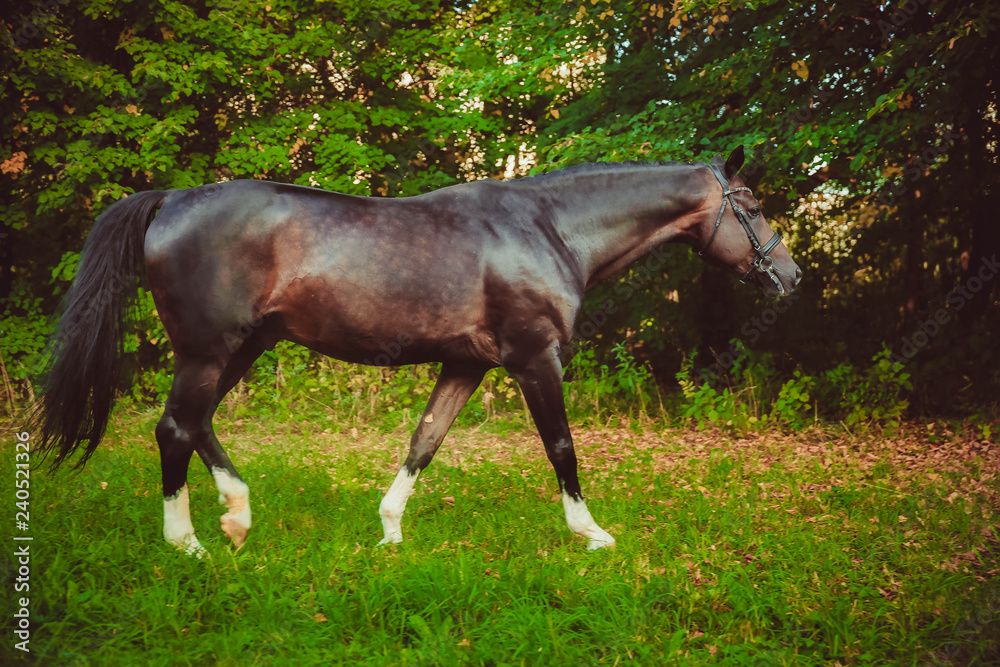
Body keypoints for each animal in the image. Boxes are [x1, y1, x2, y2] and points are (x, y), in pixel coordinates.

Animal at [35, 145, 801, 555]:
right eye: (751, 204)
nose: (790, 276)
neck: (550, 228)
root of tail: (170, 199)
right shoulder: (534, 359)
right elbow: (561, 447)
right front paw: (590, 532)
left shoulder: (466, 364)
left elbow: (424, 441)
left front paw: (390, 531)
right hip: (209, 351)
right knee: (175, 428)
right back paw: (191, 539)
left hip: (242, 348)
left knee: (192, 425)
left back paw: (234, 515)